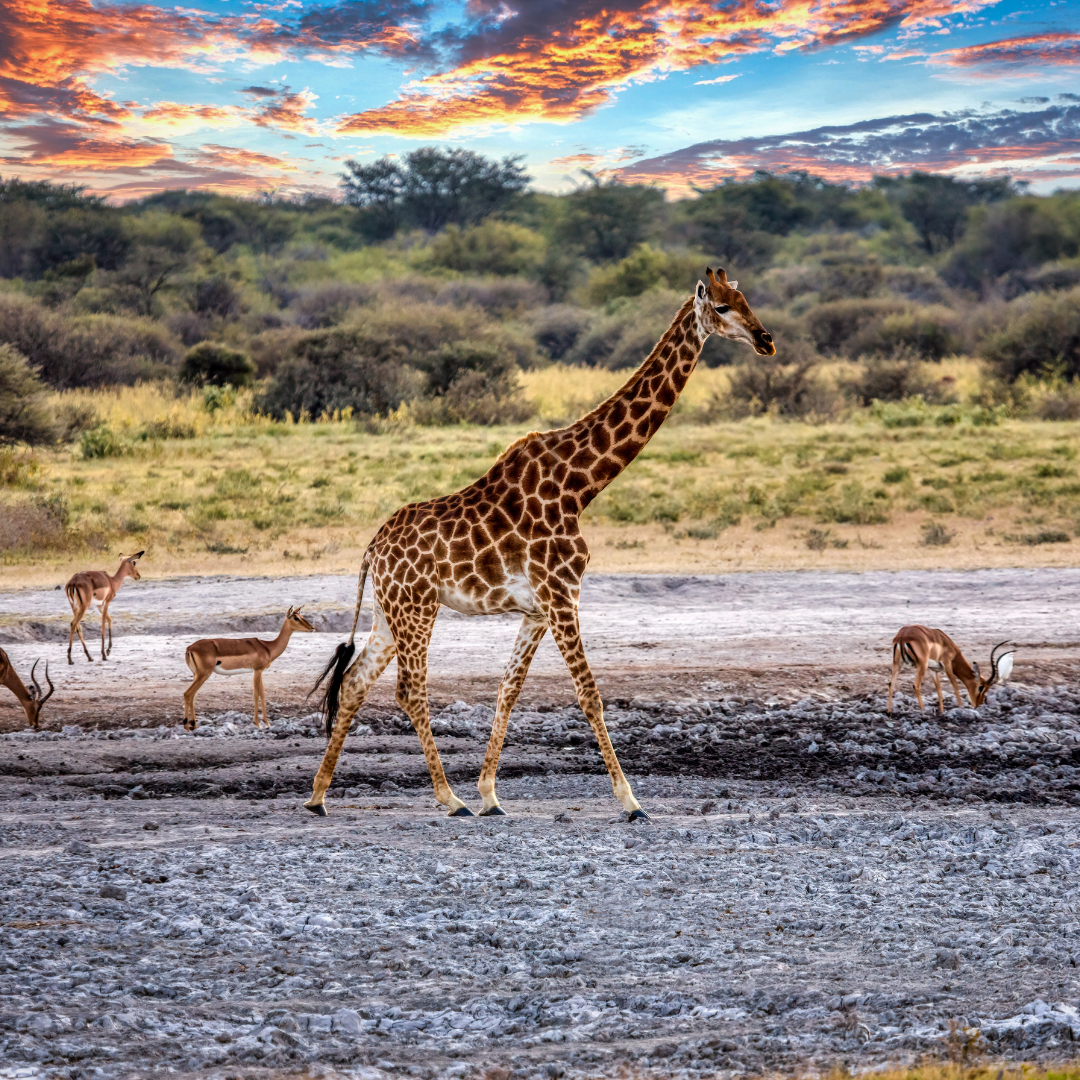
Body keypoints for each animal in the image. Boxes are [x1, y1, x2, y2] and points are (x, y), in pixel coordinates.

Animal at [305, 267, 774, 819]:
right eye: (720, 307)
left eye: (745, 299)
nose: (765, 340)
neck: (581, 486)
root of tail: (371, 551)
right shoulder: (562, 594)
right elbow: (589, 693)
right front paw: (630, 800)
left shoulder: (537, 608)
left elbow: (508, 690)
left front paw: (491, 794)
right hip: (417, 607)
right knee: (409, 691)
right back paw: (448, 798)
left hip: (388, 611)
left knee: (355, 682)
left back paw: (318, 796)